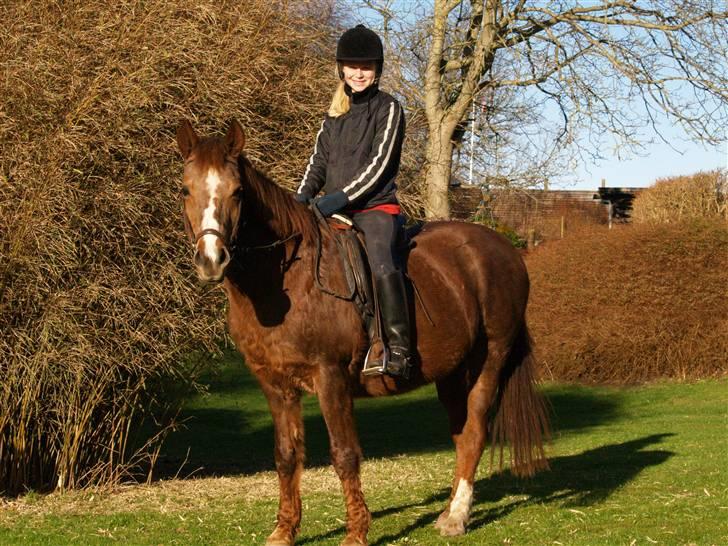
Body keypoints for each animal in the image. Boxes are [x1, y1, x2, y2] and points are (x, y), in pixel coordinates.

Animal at [175, 119, 549, 546]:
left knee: (474, 432)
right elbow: (286, 455)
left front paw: (356, 531)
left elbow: (345, 454)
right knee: (461, 434)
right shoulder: (274, 383)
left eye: (237, 192)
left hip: (489, 362)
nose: (211, 260)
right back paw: (450, 510)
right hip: (453, 373)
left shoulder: (331, 377)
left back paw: (457, 517)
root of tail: (505, 249)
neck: (286, 280)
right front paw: (284, 530)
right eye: (185, 189)